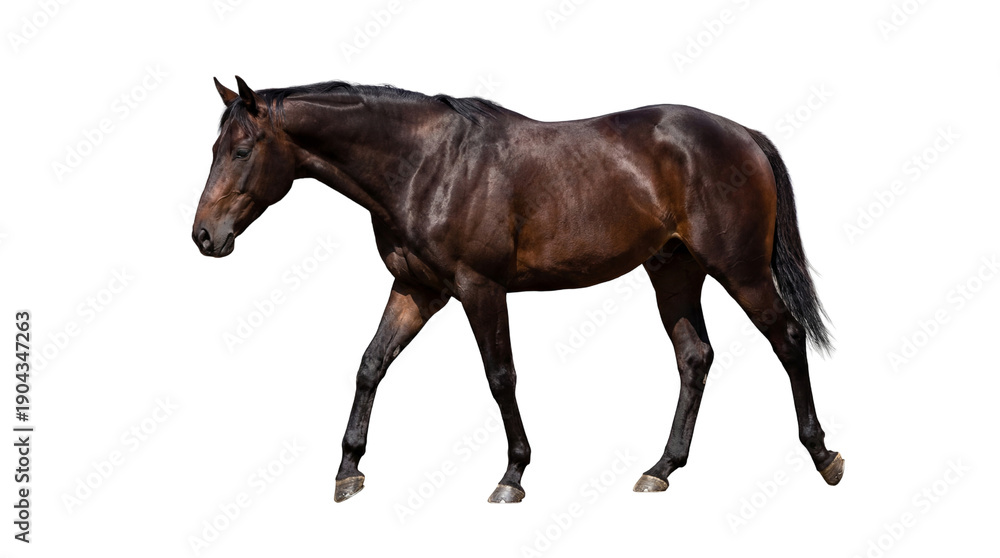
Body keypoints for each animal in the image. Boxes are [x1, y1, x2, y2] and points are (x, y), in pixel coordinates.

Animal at [193, 76, 843, 503]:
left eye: (242, 150)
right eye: (213, 148)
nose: (204, 236)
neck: (428, 165)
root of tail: (743, 134)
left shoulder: (479, 289)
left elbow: (500, 376)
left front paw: (513, 476)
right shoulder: (416, 289)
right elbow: (371, 363)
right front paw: (348, 469)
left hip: (740, 270)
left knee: (786, 339)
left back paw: (823, 455)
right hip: (674, 269)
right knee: (695, 357)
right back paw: (662, 467)